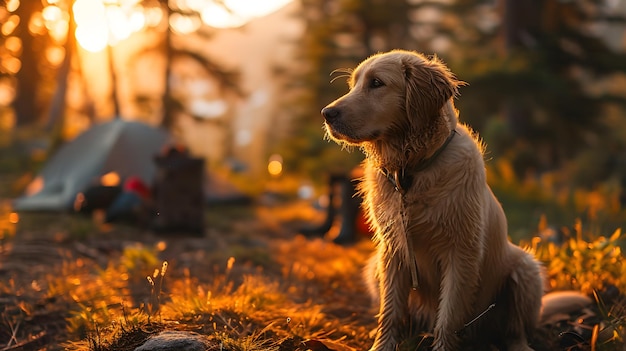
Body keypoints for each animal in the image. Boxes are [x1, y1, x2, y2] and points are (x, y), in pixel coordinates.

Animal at [322, 50, 540, 351]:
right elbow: (390, 312)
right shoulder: (393, 249)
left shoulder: (461, 253)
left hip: (526, 269)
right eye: (353, 85)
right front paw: (382, 345)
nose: (326, 114)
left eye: (376, 83)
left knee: (515, 330)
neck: (410, 172)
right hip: (373, 266)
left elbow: (448, 317)